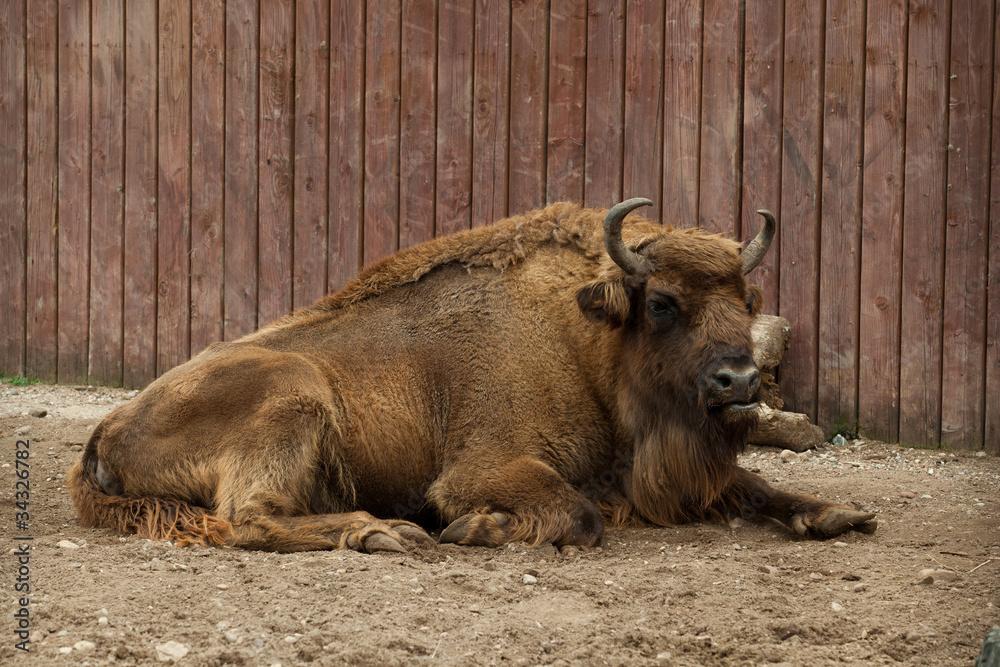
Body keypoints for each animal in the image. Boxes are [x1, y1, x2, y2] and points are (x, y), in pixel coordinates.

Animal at [69, 198, 876, 552]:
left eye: (747, 300)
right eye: (663, 303)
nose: (739, 382)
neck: (581, 333)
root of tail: (106, 429)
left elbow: (754, 483)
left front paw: (838, 513)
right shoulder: (483, 466)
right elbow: (577, 514)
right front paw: (475, 527)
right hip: (294, 396)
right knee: (250, 518)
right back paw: (385, 532)